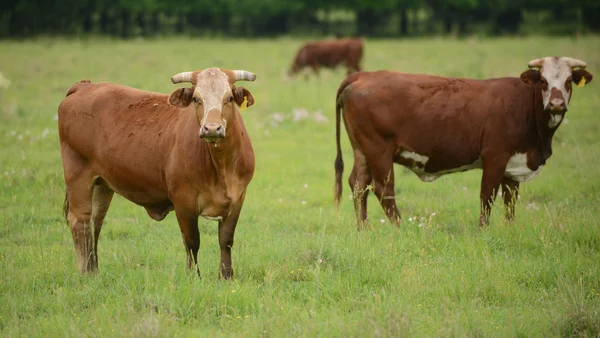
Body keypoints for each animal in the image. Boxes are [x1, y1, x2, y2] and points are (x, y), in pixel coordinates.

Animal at [57, 67, 258, 278]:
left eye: (229, 98)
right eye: (196, 99)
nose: (212, 128)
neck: (221, 166)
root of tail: (85, 86)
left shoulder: (238, 198)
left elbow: (226, 240)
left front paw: (226, 277)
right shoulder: (183, 201)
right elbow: (192, 242)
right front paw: (193, 277)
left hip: (102, 184)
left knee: (95, 221)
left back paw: (94, 270)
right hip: (78, 175)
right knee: (80, 221)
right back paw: (86, 272)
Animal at [336, 56, 592, 228]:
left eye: (569, 81)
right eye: (544, 81)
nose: (556, 104)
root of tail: (365, 75)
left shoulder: (514, 166)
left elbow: (510, 202)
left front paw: (510, 230)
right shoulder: (494, 157)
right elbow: (487, 196)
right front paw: (483, 230)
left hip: (362, 150)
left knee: (358, 184)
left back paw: (364, 229)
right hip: (379, 150)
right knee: (383, 189)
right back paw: (400, 228)